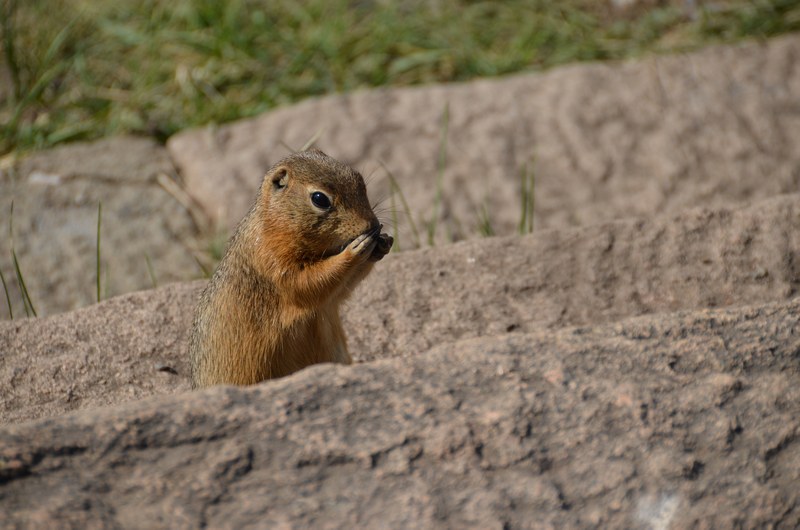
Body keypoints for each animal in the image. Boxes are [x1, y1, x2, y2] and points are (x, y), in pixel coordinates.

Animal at [188, 146, 394, 386]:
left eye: (359, 179)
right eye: (319, 199)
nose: (372, 224)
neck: (274, 222)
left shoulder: (332, 298)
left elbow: (341, 289)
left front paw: (384, 243)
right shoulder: (274, 261)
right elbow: (307, 283)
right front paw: (355, 249)